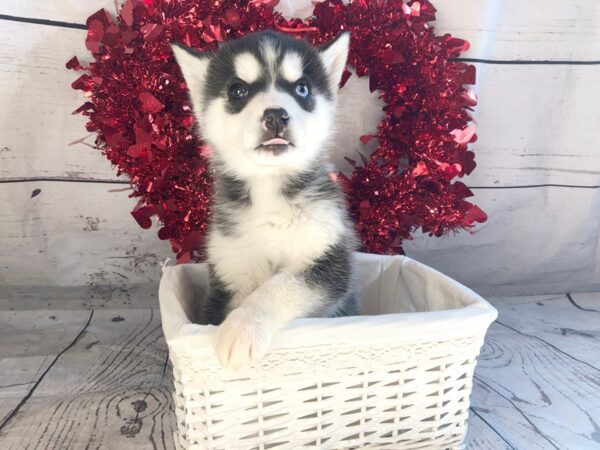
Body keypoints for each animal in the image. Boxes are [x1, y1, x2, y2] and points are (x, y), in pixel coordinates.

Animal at [171, 29, 358, 370]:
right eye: (238, 90)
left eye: (302, 89)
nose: (275, 116)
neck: (269, 191)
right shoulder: (230, 269)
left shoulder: (331, 262)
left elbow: (279, 285)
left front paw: (244, 325)